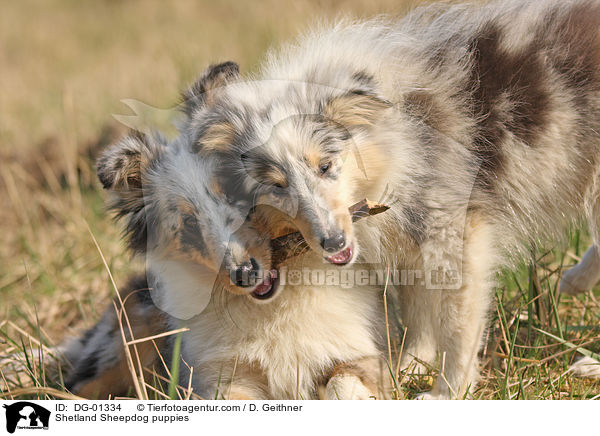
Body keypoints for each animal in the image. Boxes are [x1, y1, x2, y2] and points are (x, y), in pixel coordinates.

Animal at [183, 0, 600, 400]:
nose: (332, 242)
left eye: (326, 166)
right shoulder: (408, 241)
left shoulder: (454, 232)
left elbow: (457, 325)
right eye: (276, 186)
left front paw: (449, 392)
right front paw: (406, 369)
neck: (394, 142)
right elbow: (418, 310)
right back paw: (576, 283)